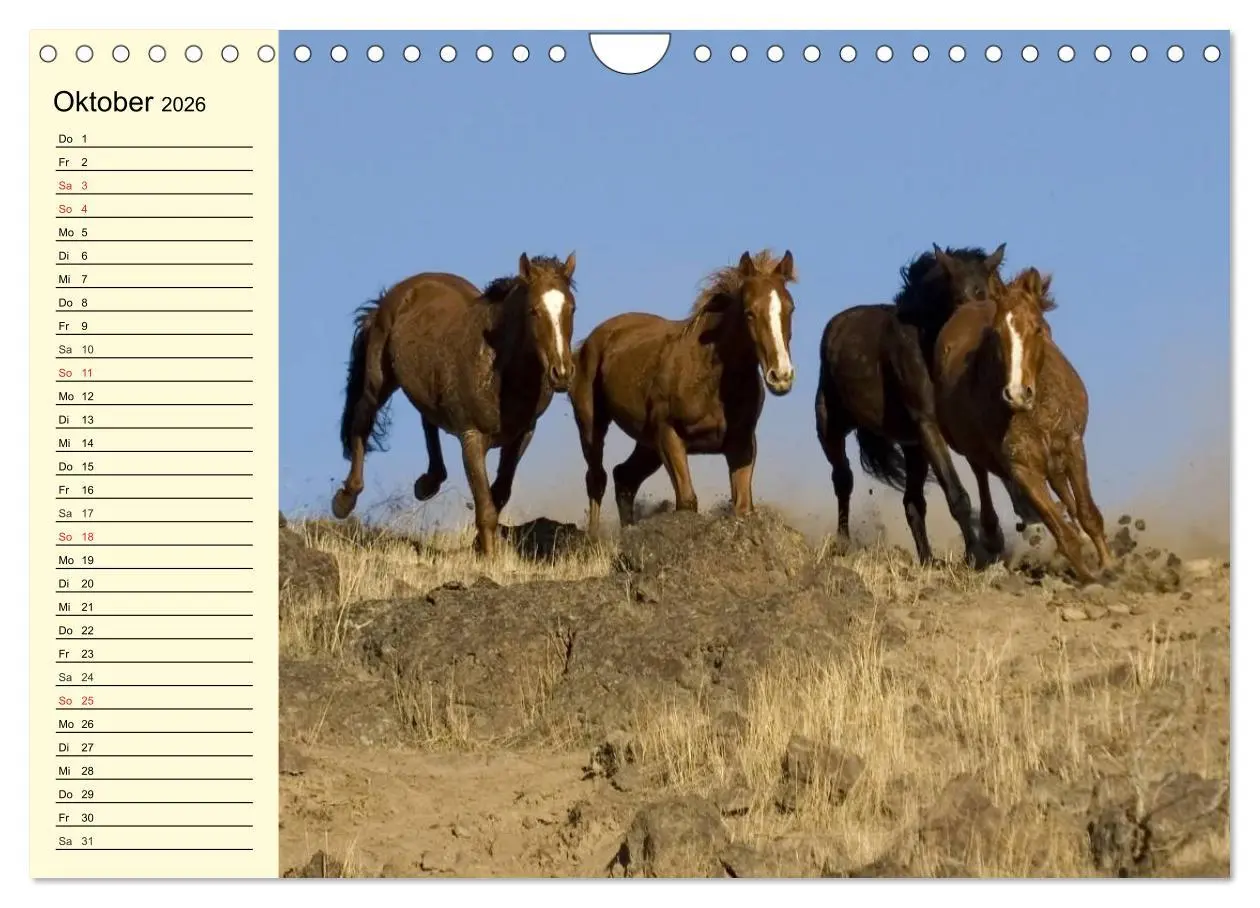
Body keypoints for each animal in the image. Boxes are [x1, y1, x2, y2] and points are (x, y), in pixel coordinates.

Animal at [331, 252, 579, 555]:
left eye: (571, 308)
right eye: (533, 310)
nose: (562, 373)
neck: (498, 368)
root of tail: (394, 294)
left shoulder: (522, 435)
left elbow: (499, 494)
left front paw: (480, 548)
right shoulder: (471, 437)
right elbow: (486, 506)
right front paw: (489, 559)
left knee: (427, 420)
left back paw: (427, 483)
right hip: (378, 380)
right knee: (362, 422)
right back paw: (344, 500)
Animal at [571, 249, 797, 532]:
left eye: (790, 308)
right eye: (749, 313)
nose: (781, 376)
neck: (710, 379)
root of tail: (586, 344)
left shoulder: (742, 443)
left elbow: (743, 506)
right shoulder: (669, 435)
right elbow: (687, 501)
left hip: (647, 444)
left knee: (624, 477)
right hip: (592, 425)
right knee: (596, 478)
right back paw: (594, 537)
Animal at [814, 244, 1006, 567]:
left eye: (987, 296)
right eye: (957, 298)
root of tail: (835, 327)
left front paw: (992, 541)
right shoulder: (928, 423)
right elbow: (958, 494)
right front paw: (976, 554)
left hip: (913, 447)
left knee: (912, 502)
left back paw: (928, 559)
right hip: (830, 426)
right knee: (843, 479)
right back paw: (843, 544)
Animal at [932, 266, 1113, 583]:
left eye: (1038, 328)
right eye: (996, 333)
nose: (1017, 393)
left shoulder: (1073, 445)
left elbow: (1088, 513)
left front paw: (1110, 566)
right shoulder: (1022, 468)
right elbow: (1062, 532)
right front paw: (1090, 577)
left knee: (1066, 494)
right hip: (978, 453)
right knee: (981, 474)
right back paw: (992, 535)